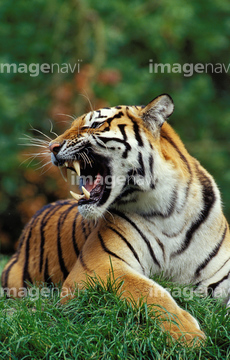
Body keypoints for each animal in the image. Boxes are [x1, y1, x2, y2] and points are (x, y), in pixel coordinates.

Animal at [2, 94, 230, 344]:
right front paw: (189, 337)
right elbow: (149, 292)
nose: (51, 147)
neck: (168, 212)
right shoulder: (100, 266)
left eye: (93, 124)